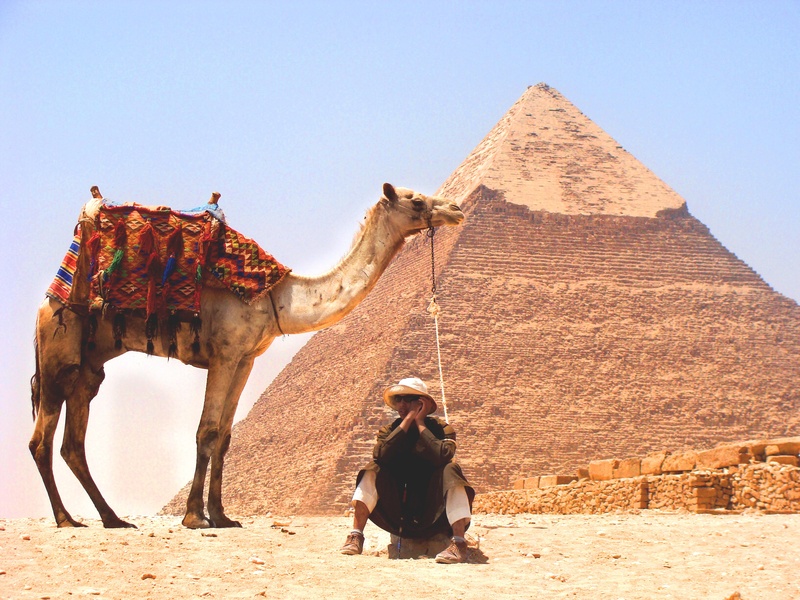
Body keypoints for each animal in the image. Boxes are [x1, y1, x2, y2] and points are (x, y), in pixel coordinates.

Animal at [29, 183, 464, 529]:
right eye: (416, 201)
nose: (456, 209)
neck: (277, 297)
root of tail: (47, 300)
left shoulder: (246, 359)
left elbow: (224, 436)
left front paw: (222, 516)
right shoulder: (224, 353)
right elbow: (206, 431)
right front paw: (195, 517)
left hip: (87, 369)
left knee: (72, 444)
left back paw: (112, 519)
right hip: (58, 353)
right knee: (41, 441)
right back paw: (67, 520)